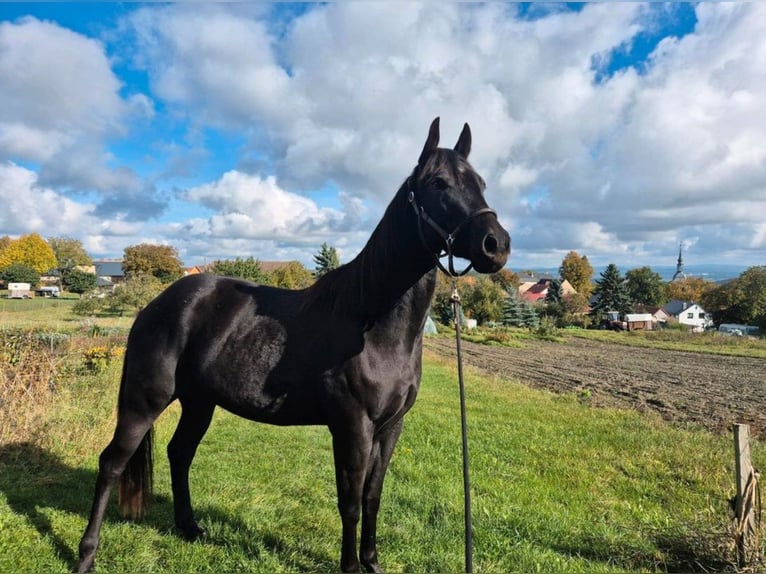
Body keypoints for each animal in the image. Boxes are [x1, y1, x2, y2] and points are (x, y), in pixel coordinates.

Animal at [76, 117, 511, 573]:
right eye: (439, 183)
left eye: (480, 182)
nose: (496, 245)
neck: (373, 327)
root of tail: (155, 305)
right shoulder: (352, 427)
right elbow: (350, 503)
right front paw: (351, 567)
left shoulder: (391, 427)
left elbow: (373, 498)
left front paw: (372, 563)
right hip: (145, 401)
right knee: (112, 463)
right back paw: (86, 554)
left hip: (199, 402)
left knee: (179, 453)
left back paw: (190, 527)